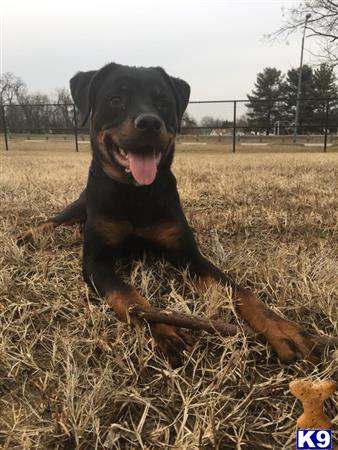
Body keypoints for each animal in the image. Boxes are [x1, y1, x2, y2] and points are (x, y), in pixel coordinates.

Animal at [19, 62, 324, 366]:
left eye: (163, 102)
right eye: (116, 99)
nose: (149, 123)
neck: (136, 194)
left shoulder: (188, 255)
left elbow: (241, 292)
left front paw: (283, 330)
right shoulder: (95, 262)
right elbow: (128, 296)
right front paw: (163, 328)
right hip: (80, 204)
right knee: (55, 219)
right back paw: (28, 234)